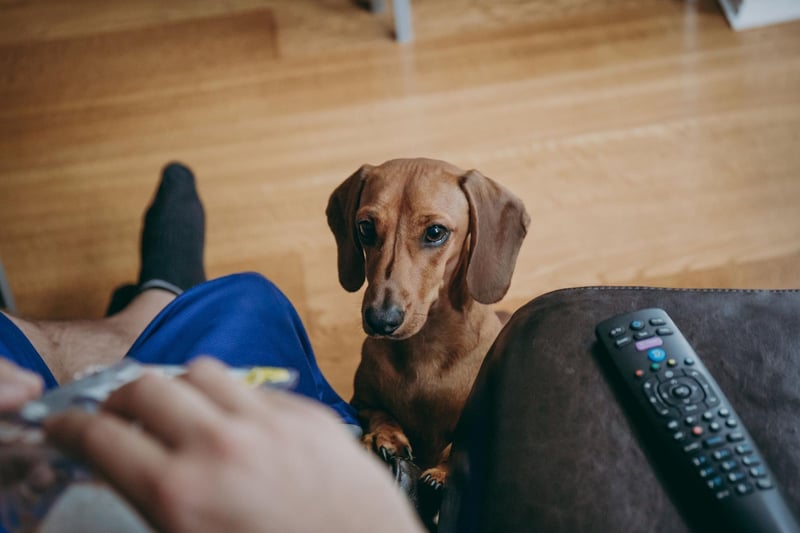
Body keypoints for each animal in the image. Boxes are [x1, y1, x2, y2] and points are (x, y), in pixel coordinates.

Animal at [324, 158, 532, 494]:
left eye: (435, 232)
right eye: (366, 227)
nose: (381, 320)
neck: (424, 348)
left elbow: (457, 444)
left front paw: (443, 472)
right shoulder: (360, 402)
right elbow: (378, 413)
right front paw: (384, 437)